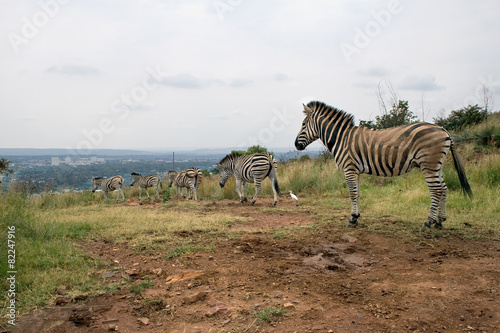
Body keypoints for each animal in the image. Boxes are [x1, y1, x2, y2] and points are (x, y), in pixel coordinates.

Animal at [292, 101, 472, 230]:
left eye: (303, 124)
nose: (295, 145)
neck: (341, 138)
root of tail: (443, 129)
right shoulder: (356, 170)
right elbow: (358, 193)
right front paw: (357, 217)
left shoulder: (350, 168)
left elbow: (352, 194)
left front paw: (352, 219)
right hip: (437, 165)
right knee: (444, 189)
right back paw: (439, 221)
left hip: (429, 164)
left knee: (436, 191)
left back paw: (428, 223)